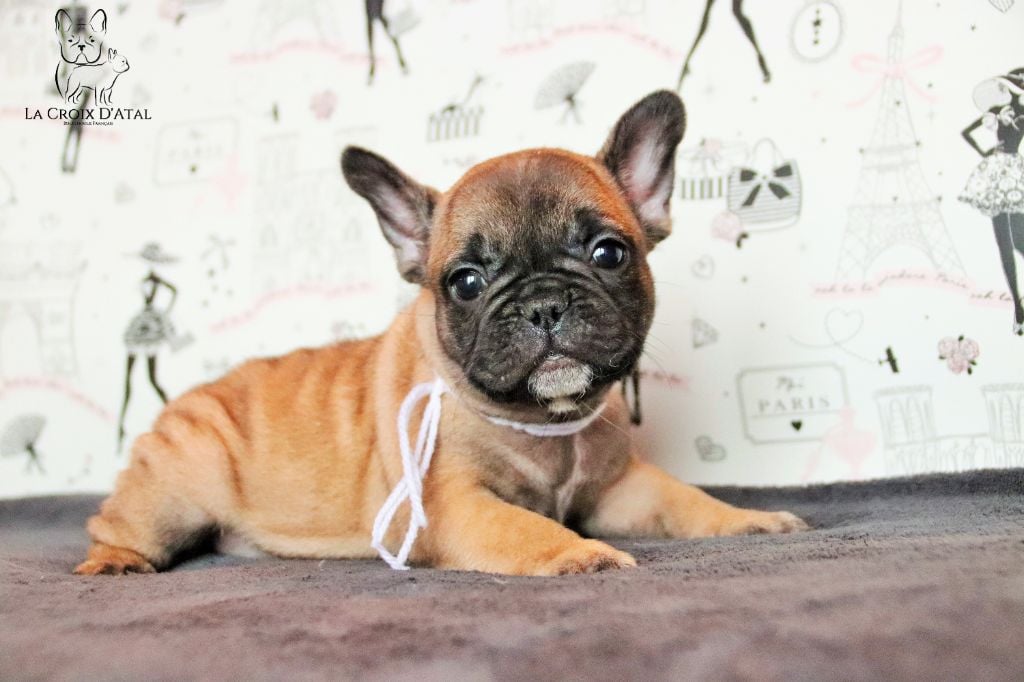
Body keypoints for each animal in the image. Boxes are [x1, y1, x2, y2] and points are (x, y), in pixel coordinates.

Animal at [75, 90, 807, 577]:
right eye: (465, 283)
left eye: (608, 253)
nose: (544, 304)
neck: (544, 424)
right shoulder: (451, 504)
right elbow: (522, 527)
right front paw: (580, 554)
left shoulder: (621, 487)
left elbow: (684, 498)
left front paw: (745, 520)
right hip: (169, 494)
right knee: (111, 526)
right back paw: (113, 563)